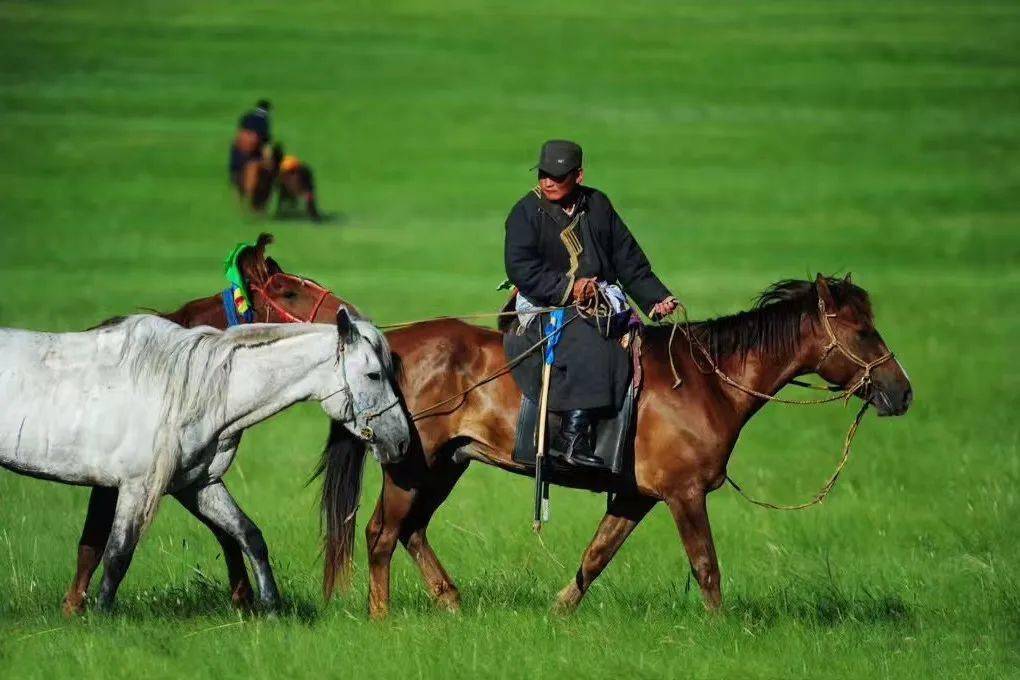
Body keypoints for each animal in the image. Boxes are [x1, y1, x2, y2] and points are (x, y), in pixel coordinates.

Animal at [0, 311, 405, 615]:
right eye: (374, 374)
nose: (401, 441)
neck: (191, 388)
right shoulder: (136, 487)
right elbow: (118, 553)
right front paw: (101, 616)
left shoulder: (198, 485)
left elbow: (249, 535)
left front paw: (272, 608)